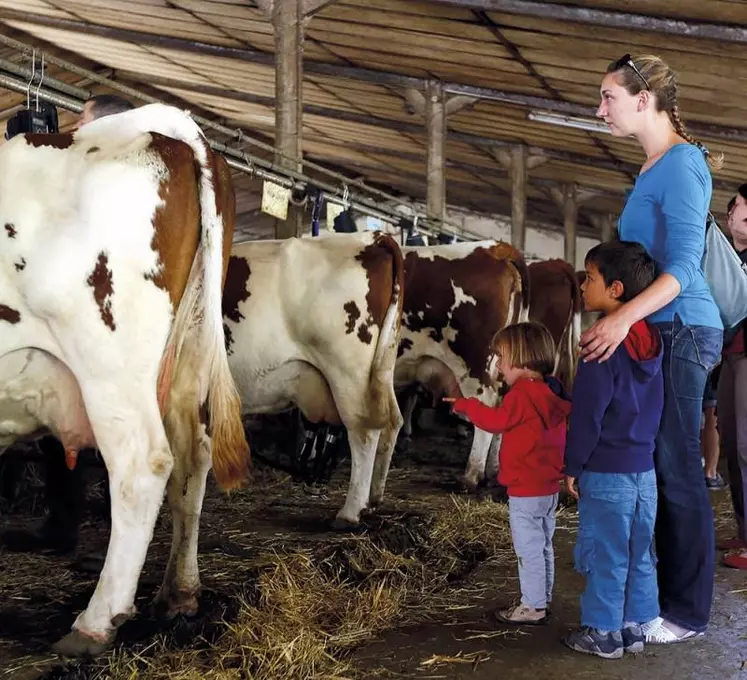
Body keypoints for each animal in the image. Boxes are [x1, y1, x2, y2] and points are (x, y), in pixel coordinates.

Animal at [0, 103, 251, 656]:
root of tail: (169, 131)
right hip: (186, 355)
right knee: (192, 454)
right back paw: (179, 595)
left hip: (107, 358)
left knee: (143, 464)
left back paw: (95, 622)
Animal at [225, 232, 406, 524]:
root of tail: (372, 238)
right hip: (383, 366)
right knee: (392, 421)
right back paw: (373, 499)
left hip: (349, 373)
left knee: (364, 428)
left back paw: (351, 512)